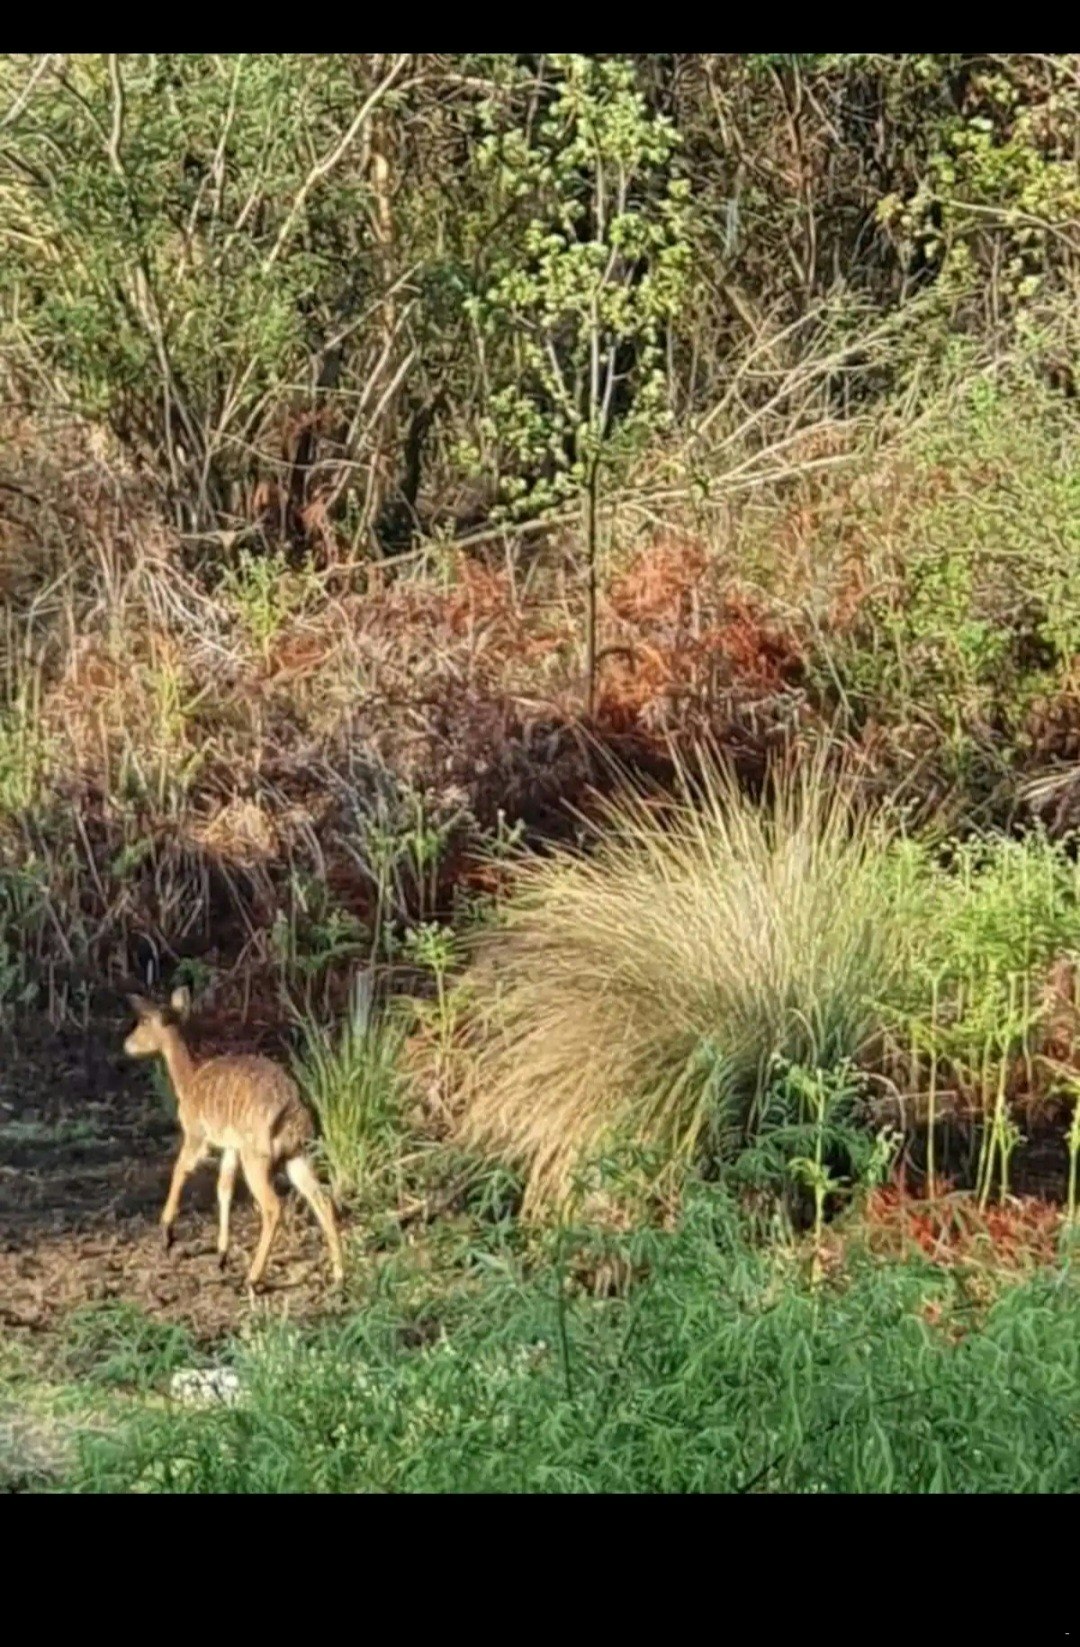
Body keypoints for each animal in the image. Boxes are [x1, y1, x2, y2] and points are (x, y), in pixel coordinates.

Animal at [124, 987, 344, 1289]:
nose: (127, 1044)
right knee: (321, 1198)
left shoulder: (197, 1133)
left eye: (144, 1021)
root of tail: (291, 1112)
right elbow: (224, 1187)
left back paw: (253, 1278)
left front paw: (167, 1234)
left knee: (273, 1207)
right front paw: (221, 1255)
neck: (188, 1082)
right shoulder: (231, 1147)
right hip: (295, 1154)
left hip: (258, 1156)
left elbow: (181, 1169)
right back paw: (339, 1273)